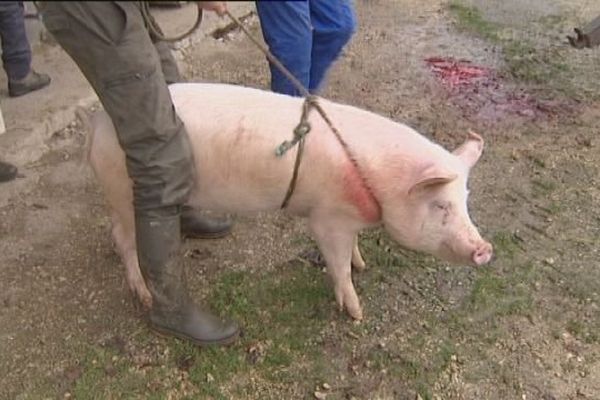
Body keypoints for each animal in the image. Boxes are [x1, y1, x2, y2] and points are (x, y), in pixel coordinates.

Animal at [83, 83, 492, 320]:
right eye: (441, 205)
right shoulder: (326, 219)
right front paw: (356, 313)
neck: (377, 183)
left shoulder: (347, 219)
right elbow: (337, 266)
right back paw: (144, 297)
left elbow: (353, 252)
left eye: (466, 199)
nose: (485, 249)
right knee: (123, 240)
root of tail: (100, 121)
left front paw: (363, 264)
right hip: (123, 190)